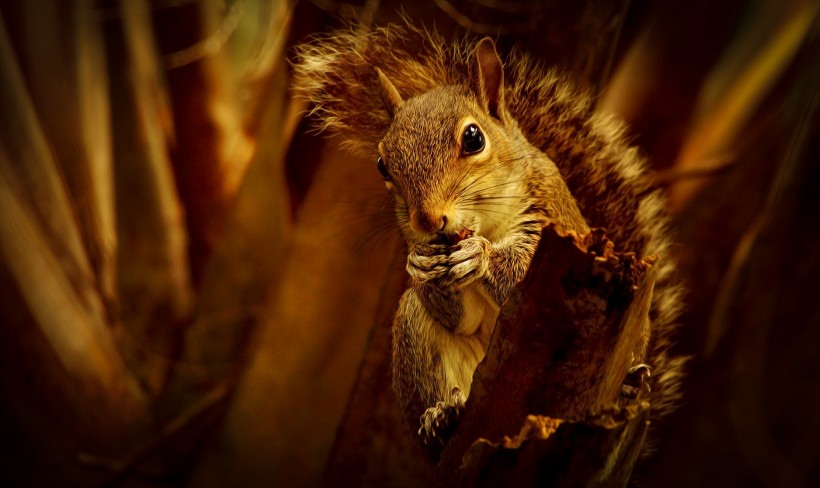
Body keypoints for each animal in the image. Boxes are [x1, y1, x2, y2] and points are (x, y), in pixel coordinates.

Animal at [292, 21, 684, 450]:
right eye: (382, 164)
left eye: (474, 138)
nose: (428, 220)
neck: (486, 223)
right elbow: (457, 314)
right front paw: (419, 265)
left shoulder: (556, 223)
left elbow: (523, 269)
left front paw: (480, 257)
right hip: (416, 330)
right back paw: (441, 416)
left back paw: (629, 386)